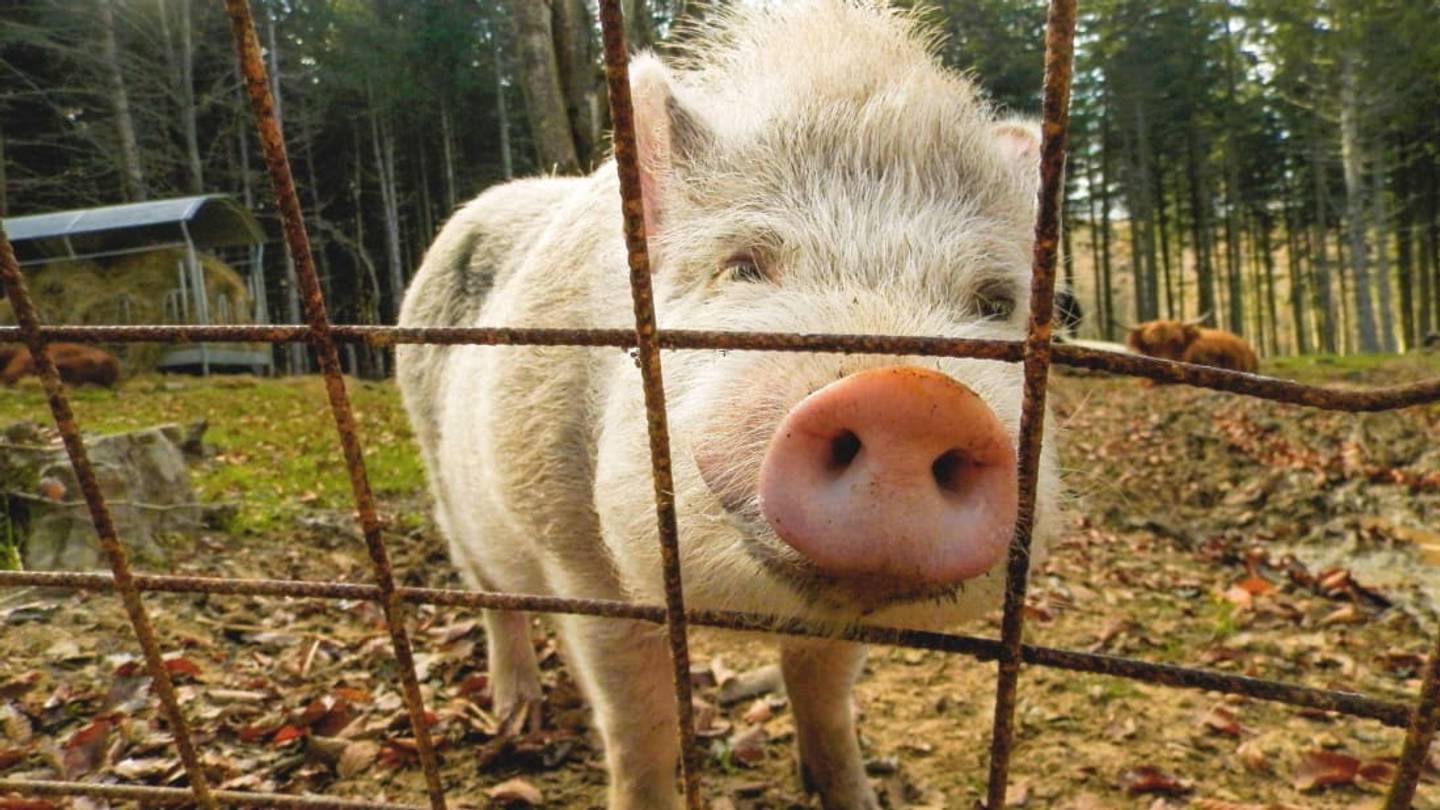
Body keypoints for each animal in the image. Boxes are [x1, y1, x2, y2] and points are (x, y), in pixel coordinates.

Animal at [397, 2, 1062, 807]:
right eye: (742, 266)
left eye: (993, 303)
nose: (909, 397)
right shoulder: (575, 554)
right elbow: (640, 725)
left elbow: (823, 693)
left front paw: (852, 793)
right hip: (440, 474)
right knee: (492, 592)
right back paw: (516, 717)